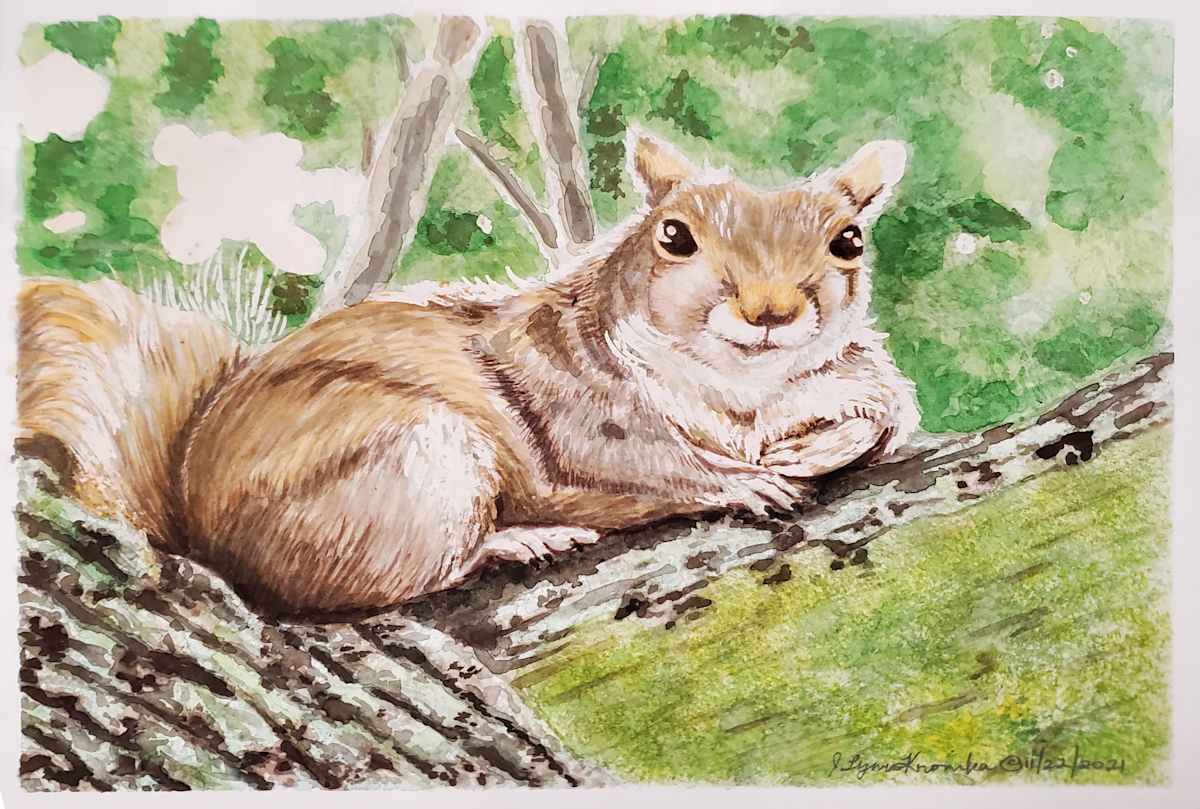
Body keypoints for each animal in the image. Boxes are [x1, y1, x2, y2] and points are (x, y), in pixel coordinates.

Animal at [17, 129, 919, 614]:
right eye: (674, 235)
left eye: (849, 240)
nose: (771, 311)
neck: (741, 392)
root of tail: (198, 525)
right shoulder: (572, 400)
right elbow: (647, 461)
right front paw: (743, 481)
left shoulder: (844, 376)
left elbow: (885, 409)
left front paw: (817, 447)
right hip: (418, 464)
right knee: (395, 579)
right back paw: (515, 540)